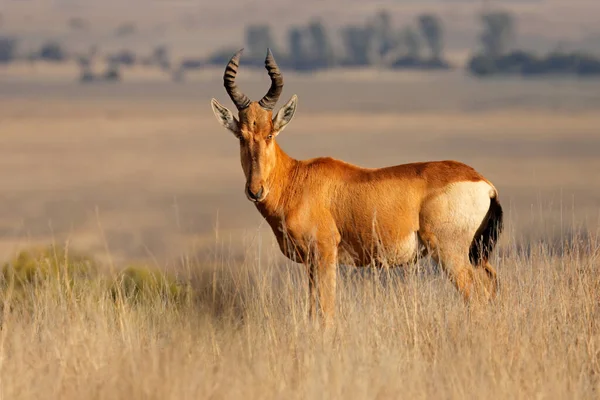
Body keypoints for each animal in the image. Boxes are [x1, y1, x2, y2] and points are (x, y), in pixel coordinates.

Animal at [211, 48, 502, 326]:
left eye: (270, 134)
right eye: (242, 136)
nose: (255, 190)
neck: (298, 177)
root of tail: (483, 184)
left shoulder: (325, 255)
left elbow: (327, 313)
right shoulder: (310, 265)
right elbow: (312, 313)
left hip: (450, 253)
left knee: (476, 297)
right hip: (476, 255)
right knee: (493, 287)